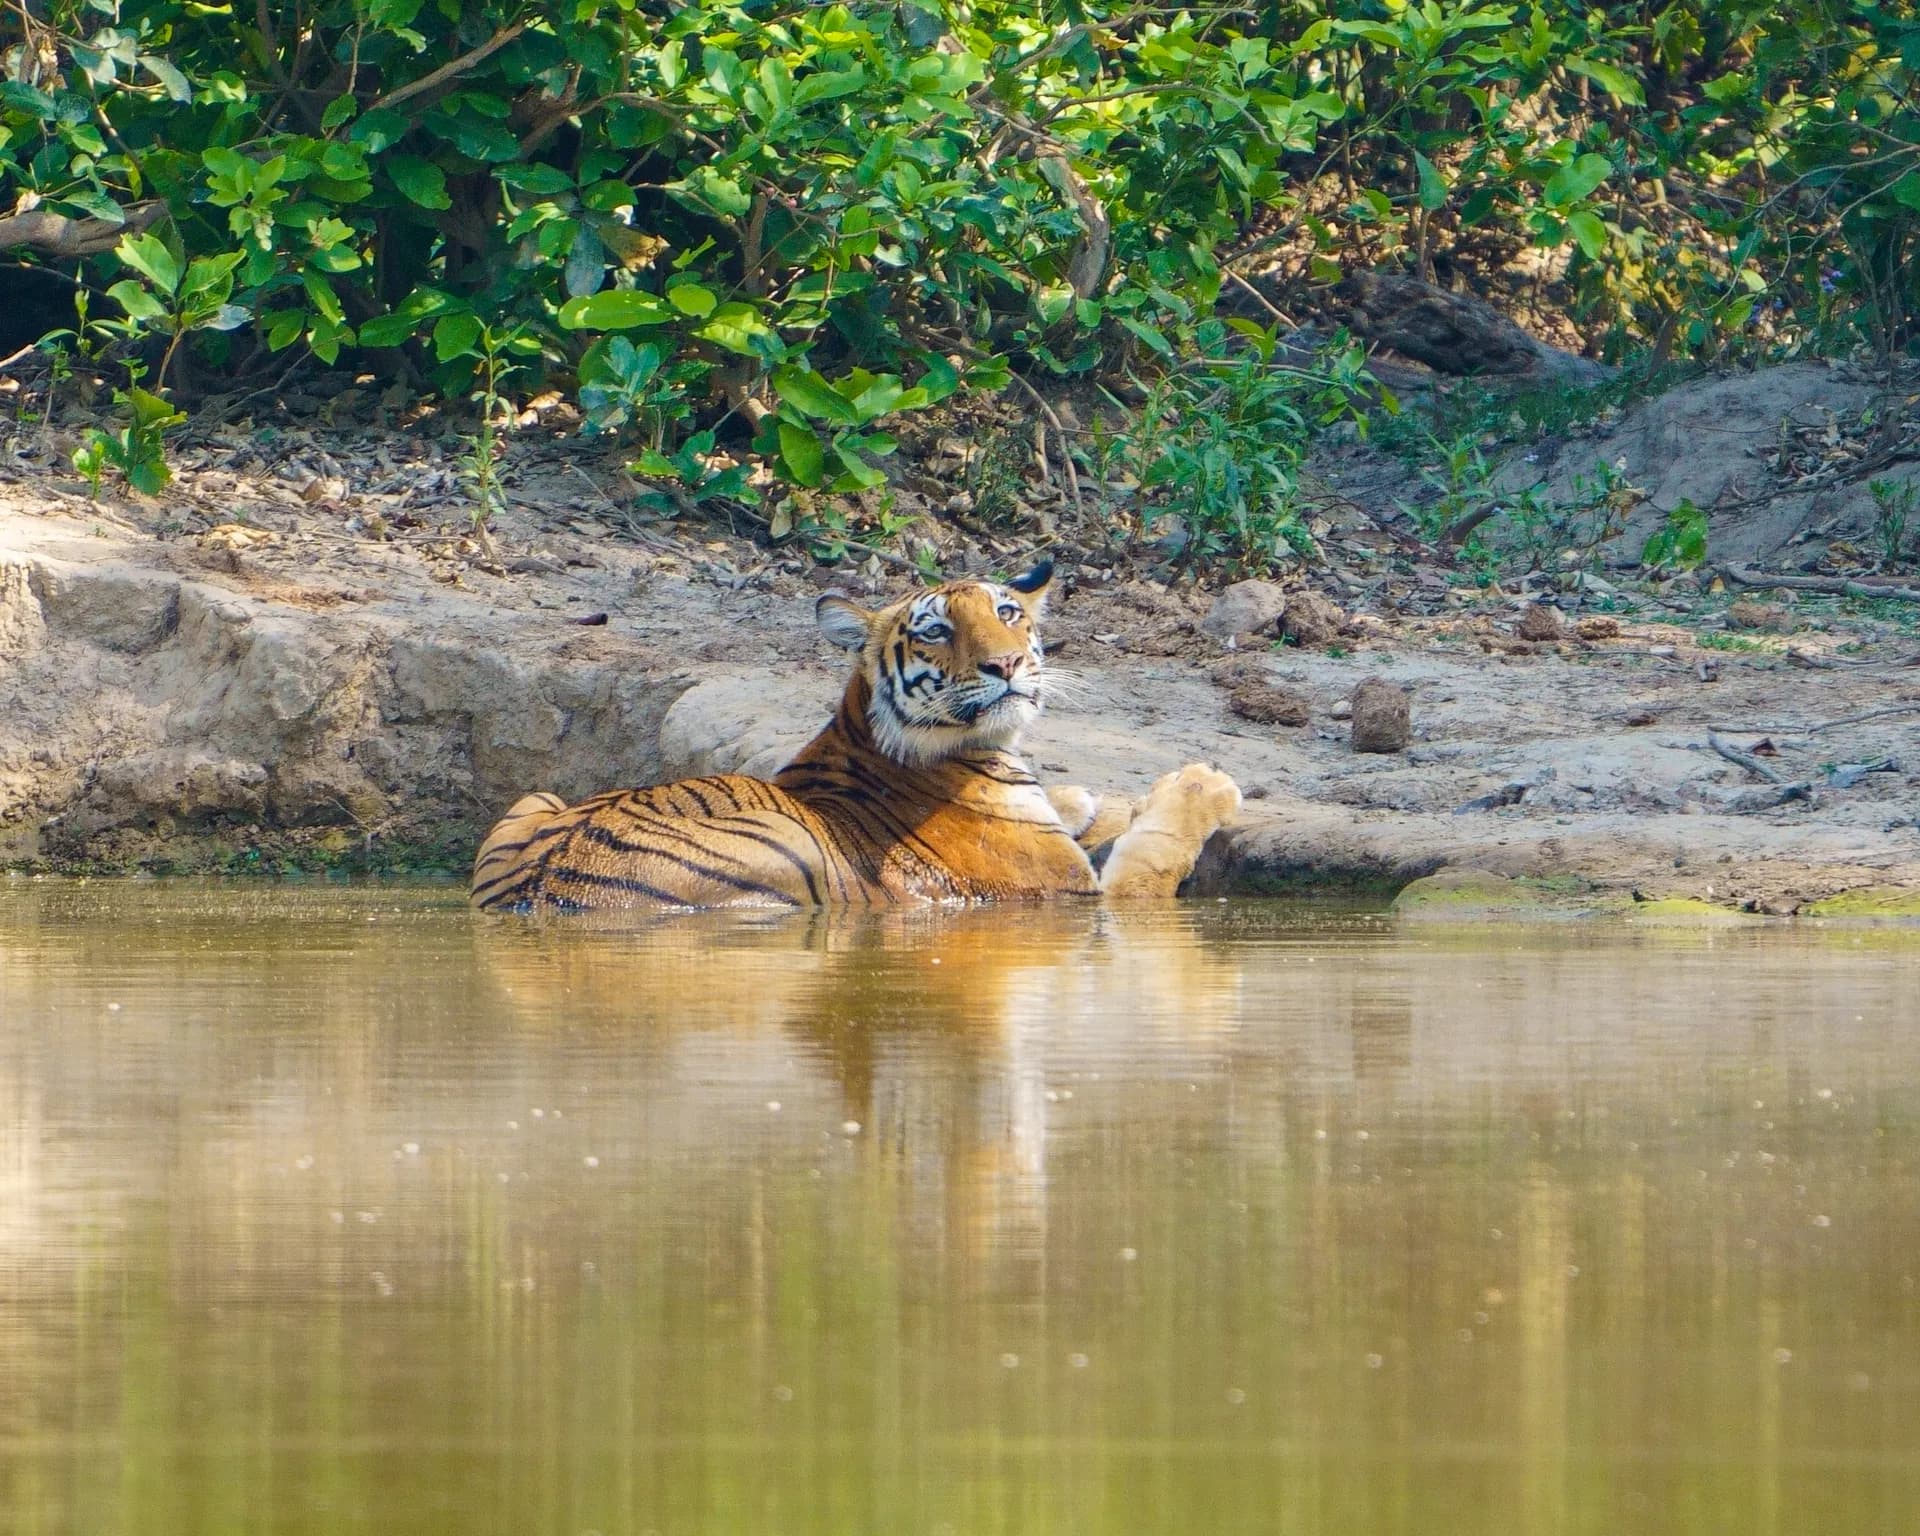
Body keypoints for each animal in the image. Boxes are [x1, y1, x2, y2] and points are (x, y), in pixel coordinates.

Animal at [469, 557, 1242, 913]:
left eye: (1008, 613)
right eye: (937, 631)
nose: (1008, 663)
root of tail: (537, 894)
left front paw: (1091, 801)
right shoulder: (1076, 895)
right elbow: (1154, 855)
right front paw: (1201, 785)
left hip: (534, 800)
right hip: (792, 849)